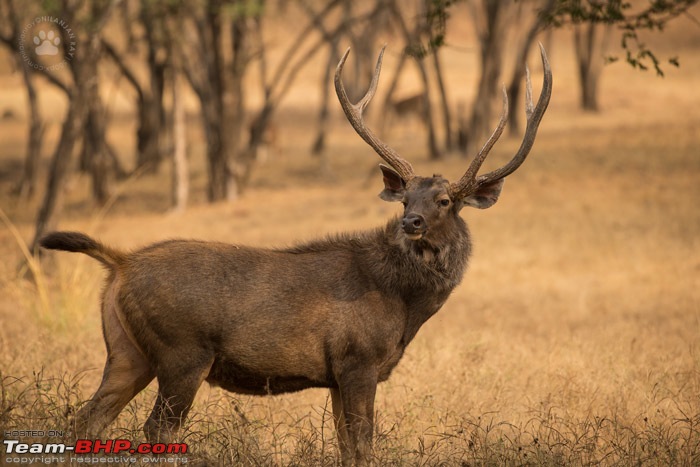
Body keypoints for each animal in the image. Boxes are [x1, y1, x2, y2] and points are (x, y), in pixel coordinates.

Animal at [39, 44, 552, 467]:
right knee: (156, 430)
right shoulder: (358, 359)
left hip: (126, 351)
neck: (404, 307)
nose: (412, 223)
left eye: (444, 200)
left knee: (86, 419)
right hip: (182, 352)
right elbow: (362, 449)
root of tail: (121, 264)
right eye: (406, 199)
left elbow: (347, 449)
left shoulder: (338, 375)